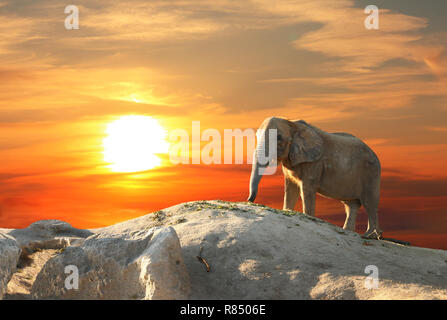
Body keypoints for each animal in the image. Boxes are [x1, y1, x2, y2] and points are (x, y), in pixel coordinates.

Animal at [247, 116, 384, 239]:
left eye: (278, 137)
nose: (250, 200)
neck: (292, 123)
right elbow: (290, 188)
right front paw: (287, 210)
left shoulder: (314, 162)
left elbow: (306, 190)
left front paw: (308, 216)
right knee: (351, 205)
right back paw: (349, 231)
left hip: (372, 172)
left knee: (369, 202)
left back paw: (370, 235)